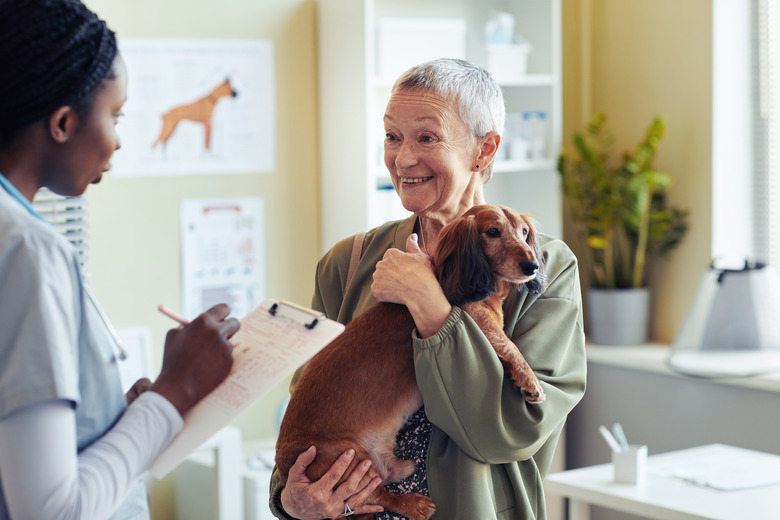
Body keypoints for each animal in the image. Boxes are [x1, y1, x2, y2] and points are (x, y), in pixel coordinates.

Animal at [278, 203, 544, 520]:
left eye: (524, 232)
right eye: (493, 231)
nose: (532, 266)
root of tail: (284, 466)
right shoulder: (481, 325)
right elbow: (510, 345)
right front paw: (530, 382)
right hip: (349, 459)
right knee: (373, 496)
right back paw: (414, 504)